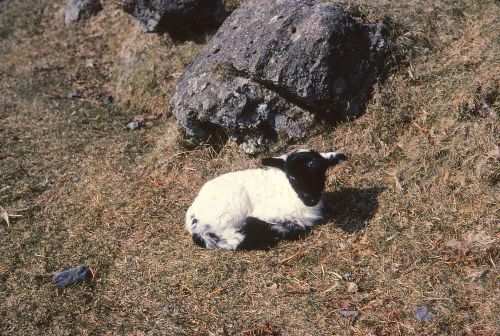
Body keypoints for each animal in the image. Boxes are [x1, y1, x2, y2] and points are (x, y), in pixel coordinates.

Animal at [185, 149, 348, 249]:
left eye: (322, 173)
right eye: (292, 177)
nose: (311, 200)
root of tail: (193, 221)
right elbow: (297, 226)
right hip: (231, 213)